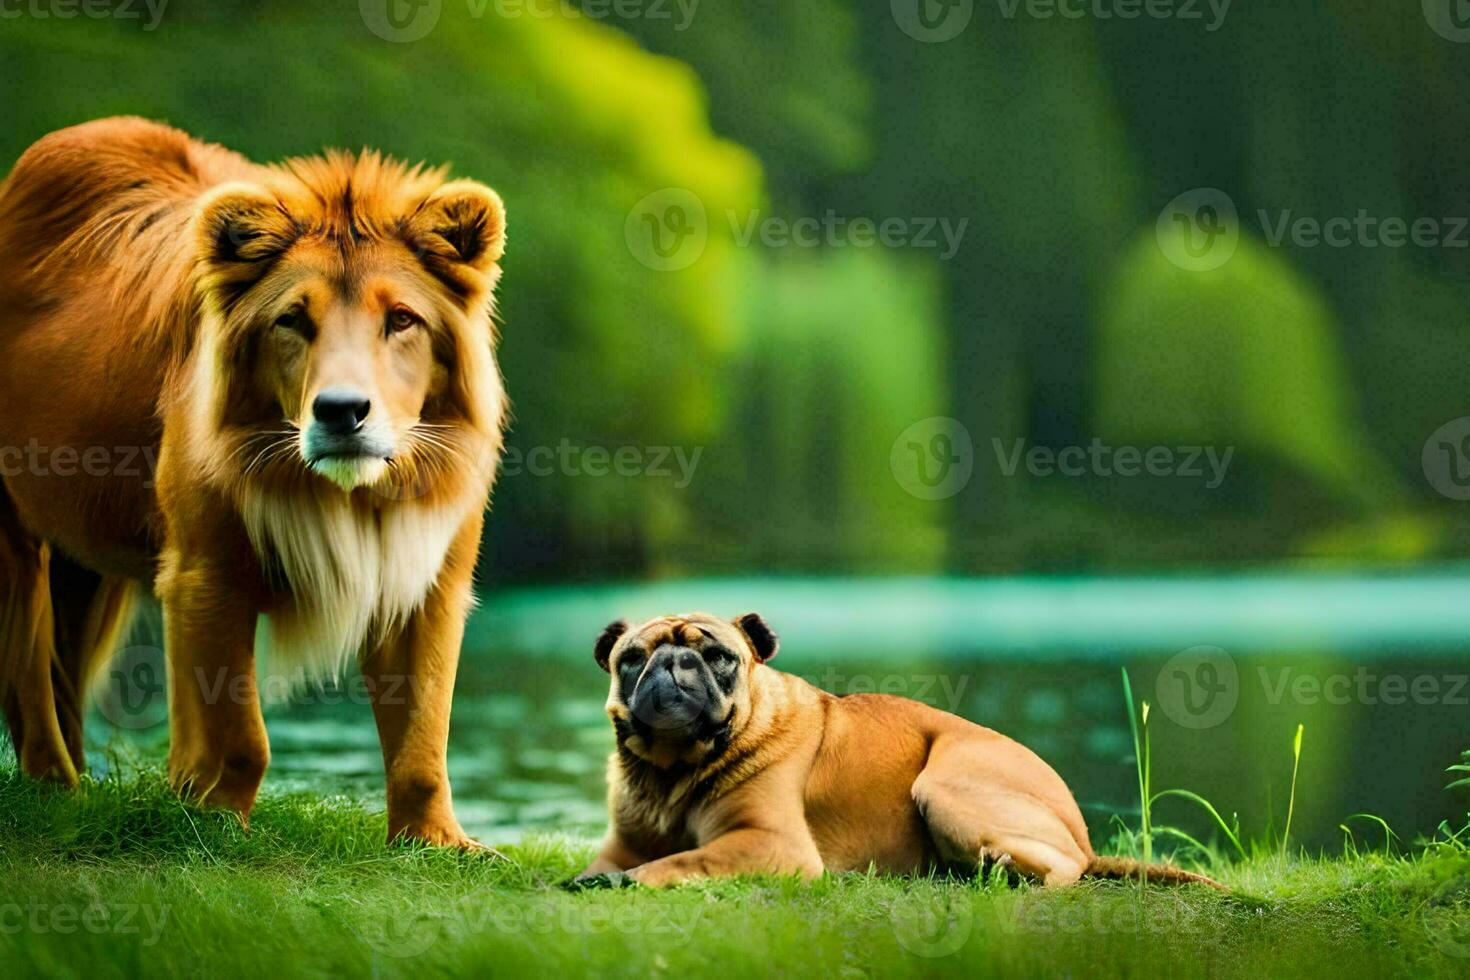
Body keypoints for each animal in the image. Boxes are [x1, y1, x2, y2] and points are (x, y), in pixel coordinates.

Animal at [0, 116, 505, 852]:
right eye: (292, 319)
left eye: (402, 319)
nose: (341, 411)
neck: (347, 496)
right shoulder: (207, 571)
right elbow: (243, 735)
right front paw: (215, 822)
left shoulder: (428, 582)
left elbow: (422, 738)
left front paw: (437, 842)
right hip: (15, 534)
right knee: (28, 677)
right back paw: (57, 792)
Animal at [579, 614, 1223, 887]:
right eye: (632, 658)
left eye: (719, 657)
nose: (674, 662)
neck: (671, 771)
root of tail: (1083, 836)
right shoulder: (621, 842)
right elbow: (609, 863)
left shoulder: (769, 843)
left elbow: (686, 860)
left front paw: (626, 882)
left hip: (942, 787)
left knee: (1066, 871)